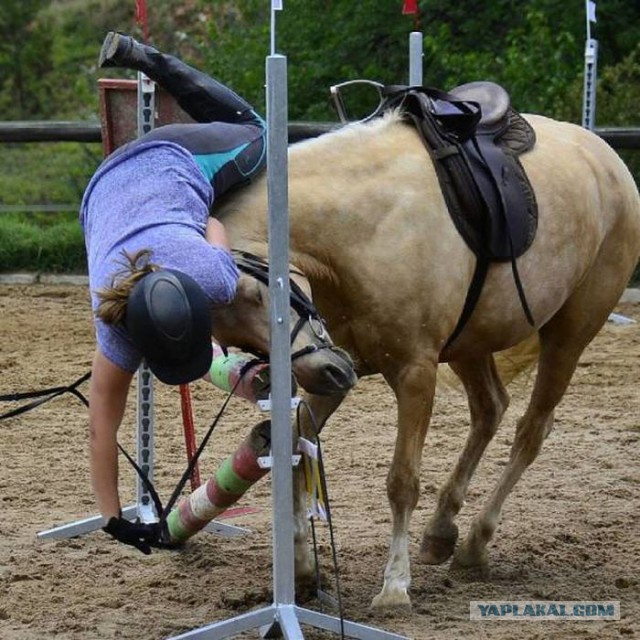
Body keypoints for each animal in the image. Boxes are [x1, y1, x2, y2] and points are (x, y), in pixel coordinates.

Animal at [216, 109, 640, 604]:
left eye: (256, 294)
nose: (330, 372)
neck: (364, 229)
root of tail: (605, 157)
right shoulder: (334, 363)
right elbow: (293, 453)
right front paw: (302, 570)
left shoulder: (414, 372)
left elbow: (402, 481)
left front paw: (395, 585)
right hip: (470, 343)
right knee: (490, 408)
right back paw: (441, 530)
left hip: (568, 339)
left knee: (531, 430)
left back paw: (476, 540)